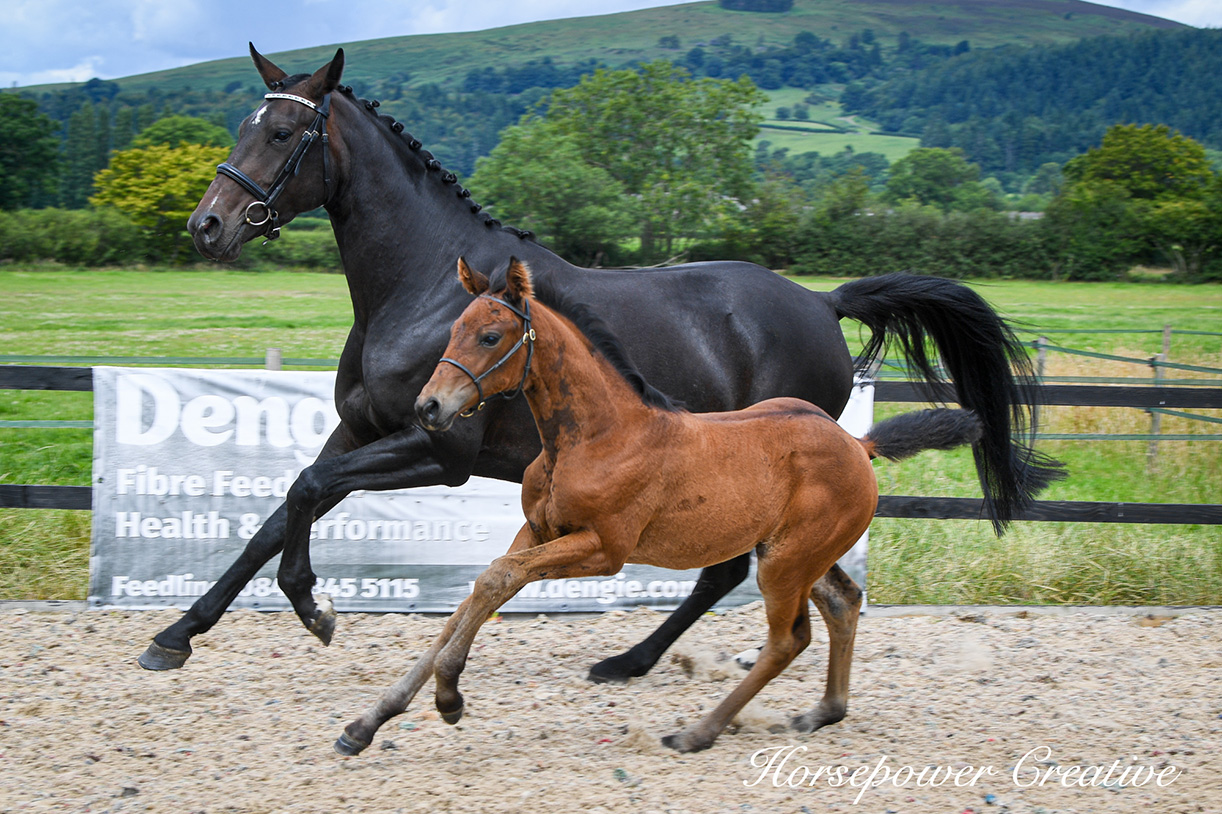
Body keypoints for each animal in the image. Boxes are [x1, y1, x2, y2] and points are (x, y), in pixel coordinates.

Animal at [147, 44, 1065, 679]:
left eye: (284, 131)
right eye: (242, 125)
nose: (206, 226)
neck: (422, 289)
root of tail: (820, 303)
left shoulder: (438, 449)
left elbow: (305, 494)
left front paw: (315, 607)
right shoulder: (359, 431)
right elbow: (278, 513)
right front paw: (175, 635)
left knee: (724, 570)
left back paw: (628, 661)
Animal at [337, 260, 982, 752]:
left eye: (490, 337)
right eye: (452, 329)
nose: (429, 408)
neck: (597, 436)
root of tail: (857, 444)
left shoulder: (602, 549)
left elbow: (496, 581)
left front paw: (449, 695)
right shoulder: (536, 530)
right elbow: (476, 595)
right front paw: (369, 722)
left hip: (785, 562)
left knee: (787, 639)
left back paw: (697, 730)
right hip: (799, 554)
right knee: (843, 603)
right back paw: (821, 711)